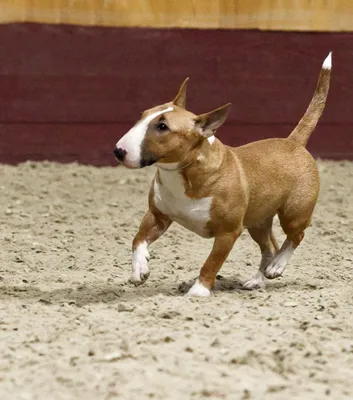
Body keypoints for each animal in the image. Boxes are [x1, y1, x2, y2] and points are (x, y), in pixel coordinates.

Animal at [114, 53, 332, 296]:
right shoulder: (157, 215)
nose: (118, 151)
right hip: (258, 221)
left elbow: (212, 262)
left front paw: (198, 292)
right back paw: (258, 280)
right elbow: (138, 238)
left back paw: (277, 266)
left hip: (294, 212)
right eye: (142, 115)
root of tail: (293, 142)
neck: (185, 172)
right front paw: (139, 269)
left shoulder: (228, 232)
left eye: (162, 127)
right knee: (269, 247)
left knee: (295, 236)